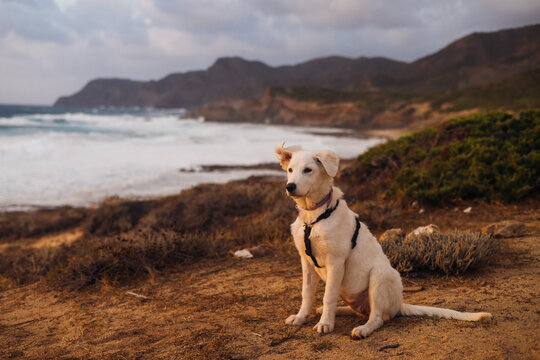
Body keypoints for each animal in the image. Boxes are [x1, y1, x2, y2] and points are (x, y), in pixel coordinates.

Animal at [276, 143, 492, 338]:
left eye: (308, 170)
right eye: (290, 170)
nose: (290, 187)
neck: (315, 216)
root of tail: (399, 305)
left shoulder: (336, 262)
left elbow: (328, 295)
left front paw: (326, 324)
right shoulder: (306, 261)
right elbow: (307, 293)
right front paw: (301, 317)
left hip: (380, 275)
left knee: (378, 317)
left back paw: (362, 329)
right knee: (361, 310)